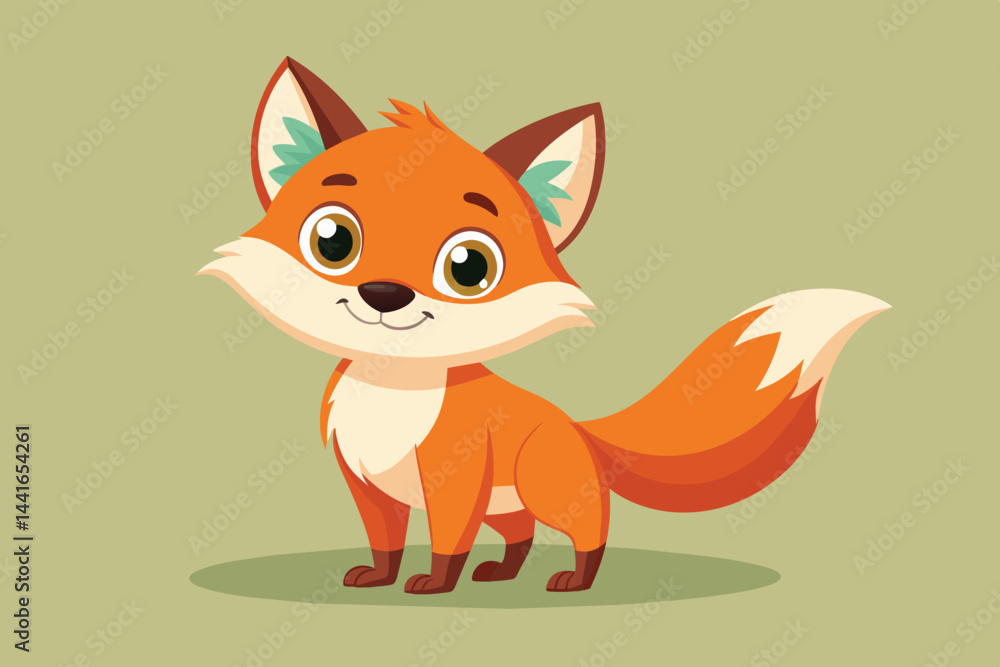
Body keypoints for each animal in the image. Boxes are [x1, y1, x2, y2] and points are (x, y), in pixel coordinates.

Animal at [199, 58, 890, 595]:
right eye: (334, 240)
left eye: (469, 266)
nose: (385, 294)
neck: (394, 395)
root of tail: (578, 428)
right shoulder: (367, 484)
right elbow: (384, 542)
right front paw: (380, 578)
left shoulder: (456, 478)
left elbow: (446, 542)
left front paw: (434, 584)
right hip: (513, 504)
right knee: (521, 536)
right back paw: (504, 574)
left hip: (546, 487)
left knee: (591, 530)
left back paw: (576, 580)